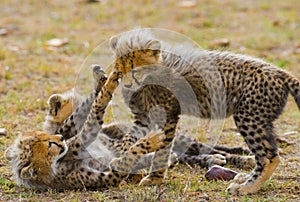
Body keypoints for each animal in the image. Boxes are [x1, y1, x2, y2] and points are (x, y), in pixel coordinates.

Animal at [108, 28, 300, 194]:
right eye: (120, 69)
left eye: (135, 70)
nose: (126, 85)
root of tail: (280, 72)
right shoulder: (142, 118)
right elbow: (128, 138)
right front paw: (123, 159)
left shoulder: (168, 117)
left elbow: (162, 150)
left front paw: (154, 179)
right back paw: (244, 179)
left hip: (248, 118)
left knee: (269, 157)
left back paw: (245, 188)